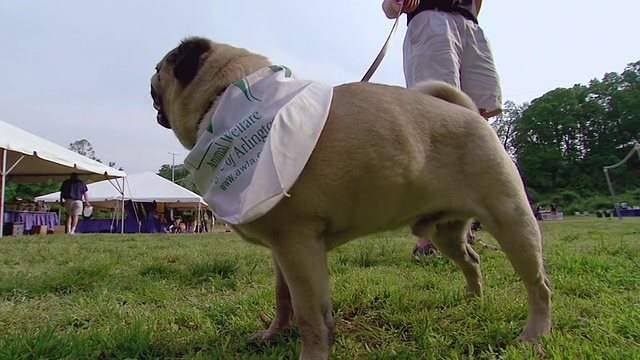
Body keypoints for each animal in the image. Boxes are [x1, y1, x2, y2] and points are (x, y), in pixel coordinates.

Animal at [151, 37, 552, 360]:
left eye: (159, 69)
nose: (150, 77)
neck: (225, 96)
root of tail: (469, 113)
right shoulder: (282, 251)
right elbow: (283, 297)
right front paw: (274, 334)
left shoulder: (298, 247)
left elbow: (310, 313)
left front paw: (313, 353)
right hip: (445, 232)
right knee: (471, 259)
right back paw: (473, 301)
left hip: (512, 220)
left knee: (539, 286)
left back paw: (533, 337)